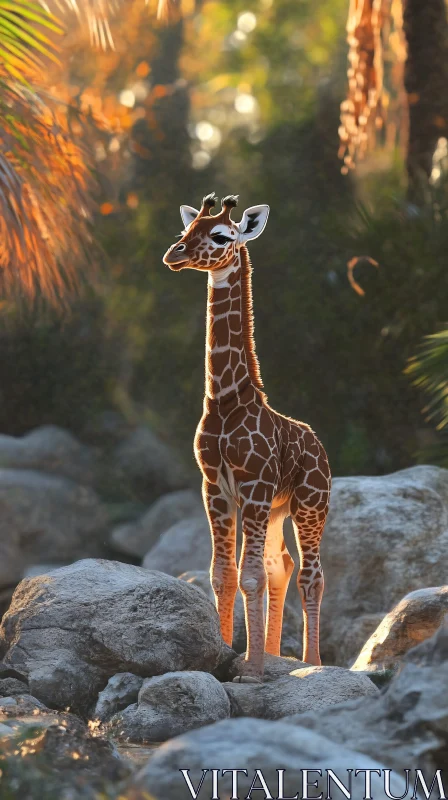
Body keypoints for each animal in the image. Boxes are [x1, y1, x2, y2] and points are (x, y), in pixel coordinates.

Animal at [163, 192, 330, 680]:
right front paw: (224, 652)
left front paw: (251, 669)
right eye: (186, 229)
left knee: (311, 573)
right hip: (276, 511)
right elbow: (224, 573)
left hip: (311, 504)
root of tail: (318, 444)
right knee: (282, 565)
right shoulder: (214, 485)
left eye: (221, 236)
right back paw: (276, 654)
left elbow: (248, 574)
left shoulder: (252, 484)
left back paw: (311, 662)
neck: (224, 399)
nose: (174, 254)